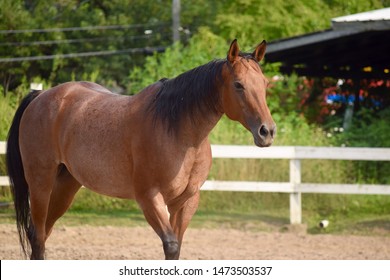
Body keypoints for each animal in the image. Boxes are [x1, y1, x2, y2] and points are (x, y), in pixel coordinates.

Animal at [5, 38, 274, 260]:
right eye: (238, 85)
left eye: (264, 84)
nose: (267, 131)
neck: (179, 133)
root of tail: (40, 96)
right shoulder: (149, 198)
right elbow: (171, 245)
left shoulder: (186, 201)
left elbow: (177, 248)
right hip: (40, 182)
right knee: (38, 236)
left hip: (66, 184)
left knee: (44, 232)